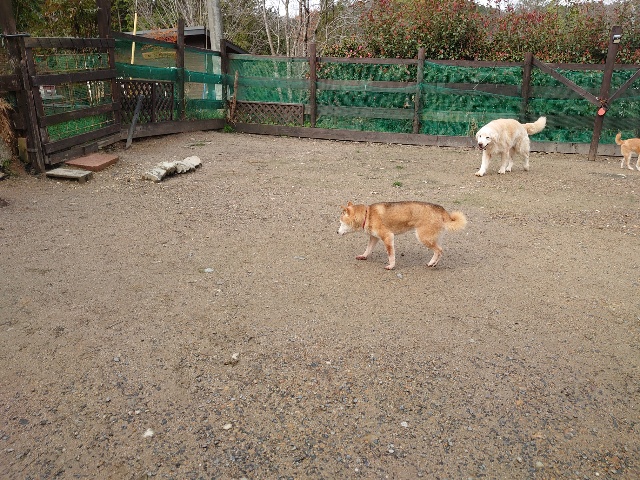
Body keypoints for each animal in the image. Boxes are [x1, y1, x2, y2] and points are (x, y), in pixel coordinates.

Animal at [337, 201, 467, 270]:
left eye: (341, 222)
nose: (337, 232)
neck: (367, 214)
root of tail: (442, 210)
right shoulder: (374, 238)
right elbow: (368, 249)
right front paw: (364, 256)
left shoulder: (388, 237)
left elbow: (391, 255)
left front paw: (391, 266)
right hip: (432, 238)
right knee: (438, 250)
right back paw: (433, 263)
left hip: (423, 237)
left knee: (439, 250)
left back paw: (432, 263)